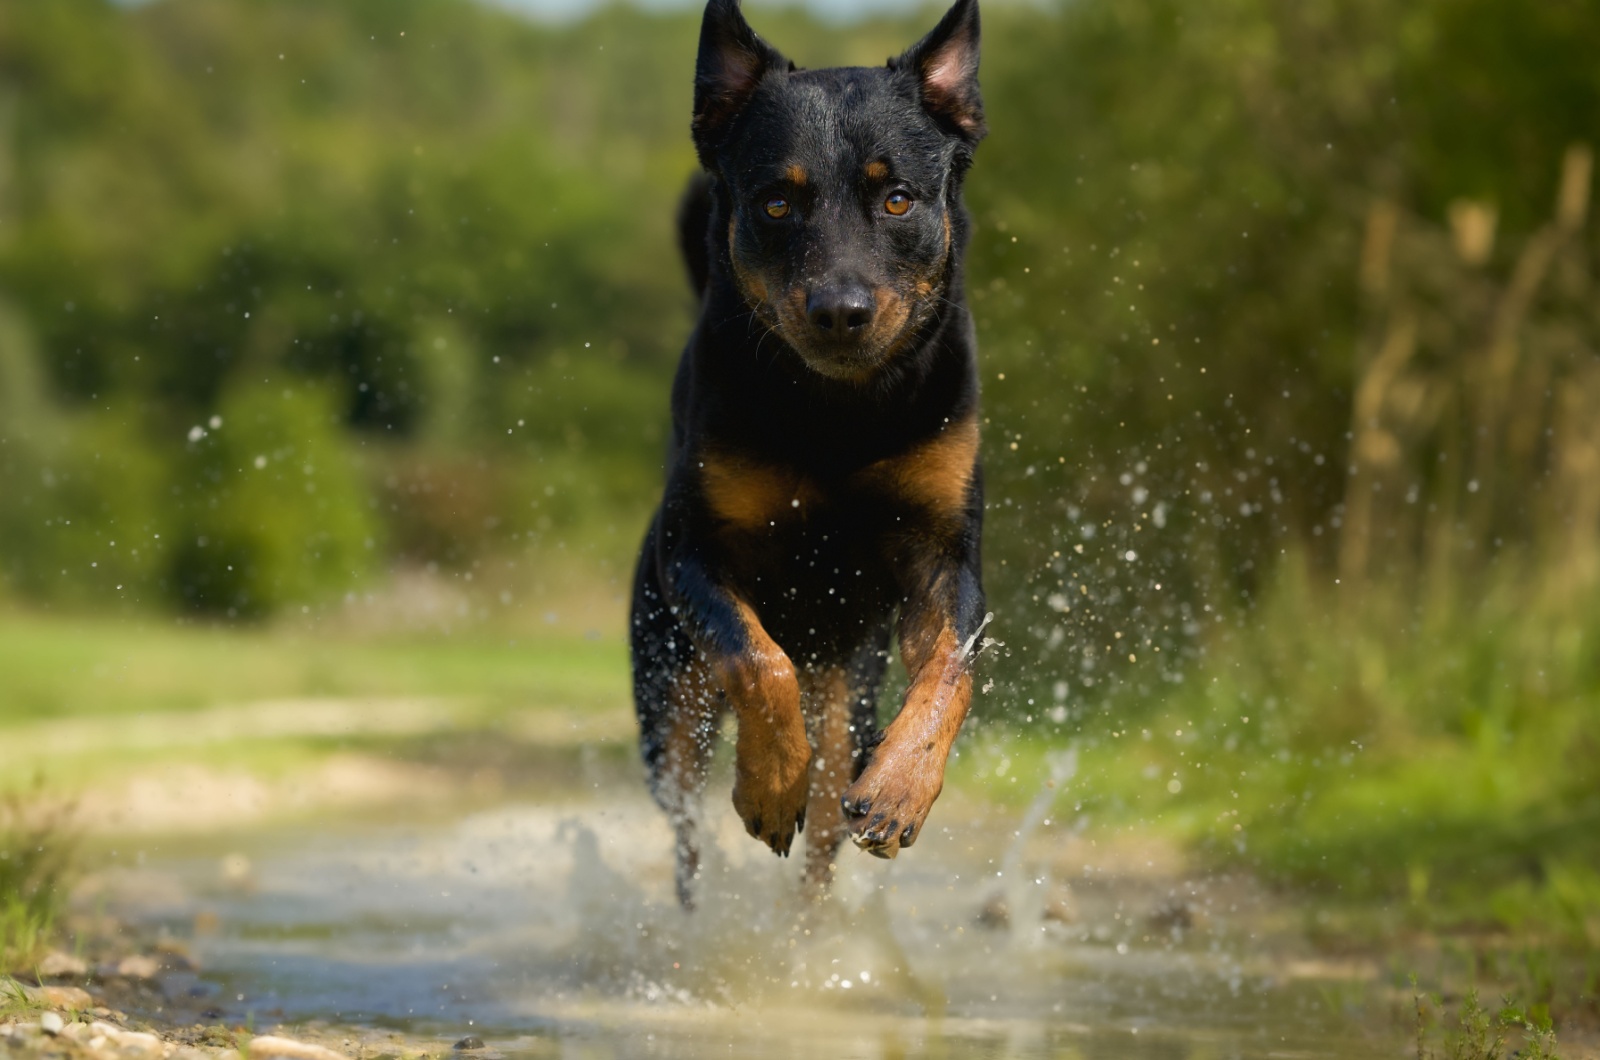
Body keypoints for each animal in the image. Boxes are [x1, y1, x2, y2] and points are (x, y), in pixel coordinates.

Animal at [627, 0, 985, 909]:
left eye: (897, 198)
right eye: (777, 204)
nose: (840, 309)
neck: (837, 414)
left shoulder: (943, 552)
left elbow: (951, 669)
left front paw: (902, 787)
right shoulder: (694, 557)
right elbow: (759, 661)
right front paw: (767, 785)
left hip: (847, 693)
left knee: (826, 823)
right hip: (668, 694)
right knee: (687, 825)